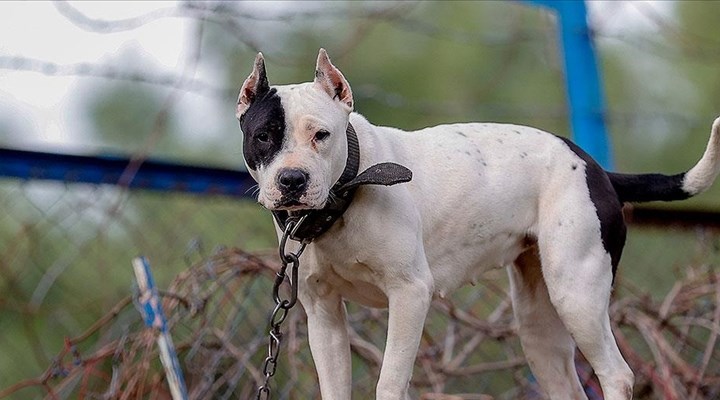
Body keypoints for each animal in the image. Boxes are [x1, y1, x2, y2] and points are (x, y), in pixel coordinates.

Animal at [238, 48, 720, 398]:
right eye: (263, 136)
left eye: (321, 135)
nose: (292, 180)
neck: (347, 191)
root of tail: (593, 166)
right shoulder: (323, 314)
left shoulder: (410, 295)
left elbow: (390, 382)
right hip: (539, 325)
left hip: (577, 295)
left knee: (616, 374)